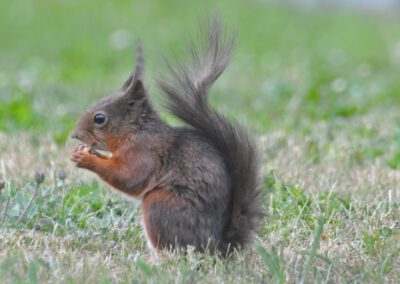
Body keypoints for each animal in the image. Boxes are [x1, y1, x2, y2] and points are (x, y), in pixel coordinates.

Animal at [69, 20, 262, 255]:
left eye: (100, 118)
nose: (74, 135)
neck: (136, 131)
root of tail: (216, 247)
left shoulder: (145, 153)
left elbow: (128, 177)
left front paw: (86, 159)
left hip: (159, 205)